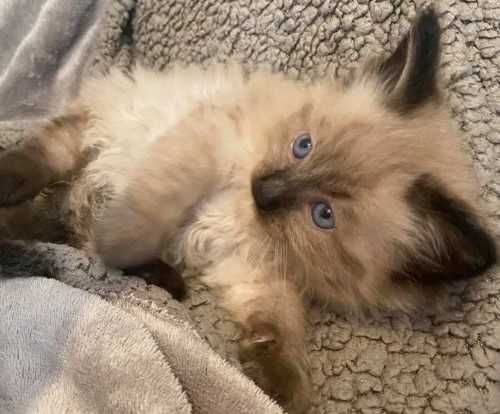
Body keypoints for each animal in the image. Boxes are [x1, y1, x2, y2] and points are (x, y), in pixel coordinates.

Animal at [0, 7, 496, 413]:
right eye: (302, 146)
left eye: (323, 214)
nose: (266, 190)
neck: (243, 211)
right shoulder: (208, 143)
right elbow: (149, 210)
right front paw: (117, 240)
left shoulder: (250, 265)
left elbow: (282, 318)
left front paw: (278, 383)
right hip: (90, 137)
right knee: (43, 163)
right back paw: (16, 187)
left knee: (50, 226)